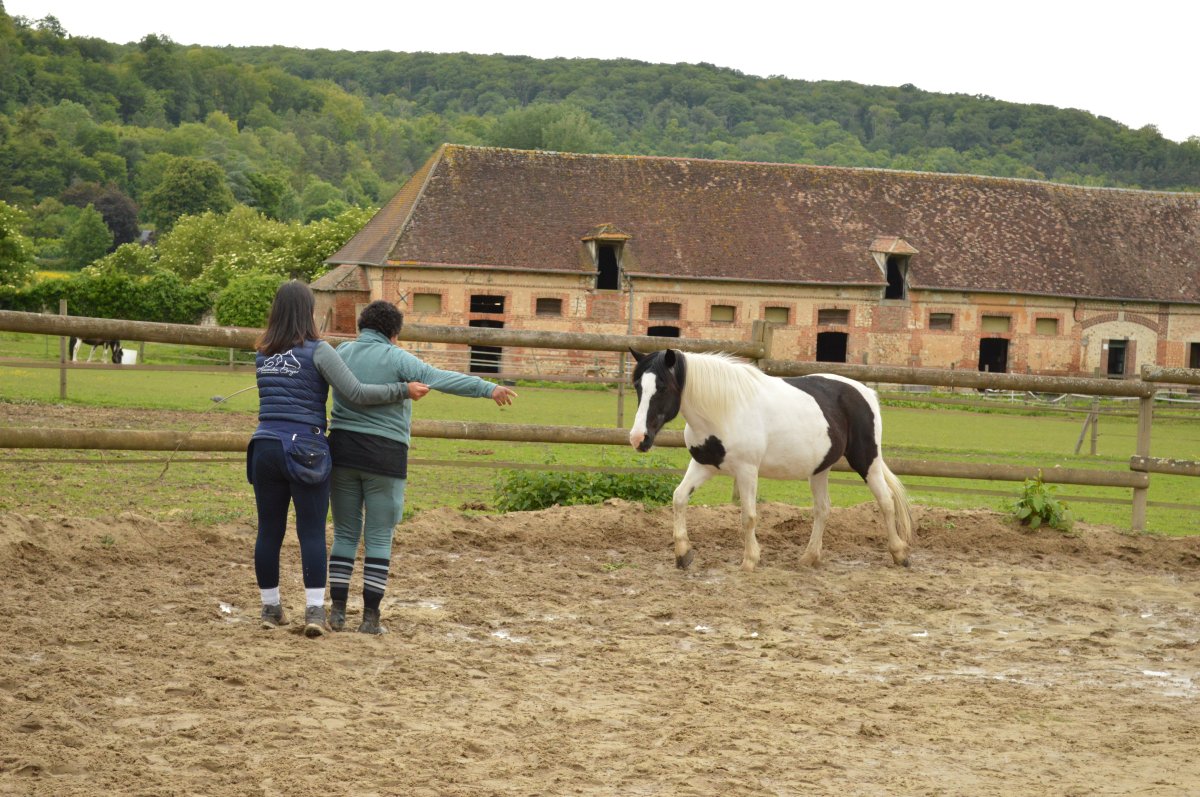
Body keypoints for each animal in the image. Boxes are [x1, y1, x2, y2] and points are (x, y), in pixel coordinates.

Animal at [628, 349, 913, 572]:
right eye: (638, 386)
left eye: (663, 387)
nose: (638, 438)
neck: (723, 410)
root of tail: (866, 392)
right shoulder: (703, 466)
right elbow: (678, 498)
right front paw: (683, 554)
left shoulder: (747, 471)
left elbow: (748, 516)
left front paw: (750, 560)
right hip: (820, 469)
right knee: (823, 509)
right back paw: (809, 557)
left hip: (867, 461)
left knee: (886, 501)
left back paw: (899, 553)